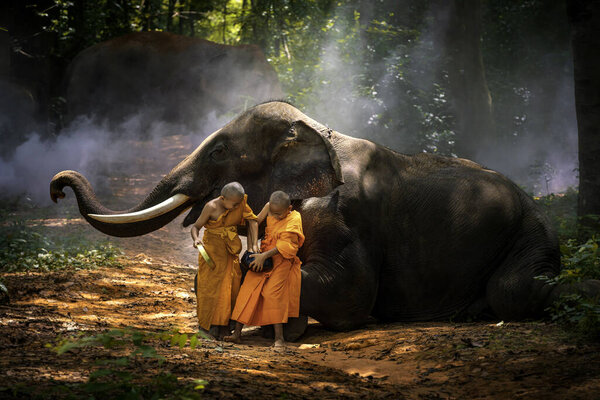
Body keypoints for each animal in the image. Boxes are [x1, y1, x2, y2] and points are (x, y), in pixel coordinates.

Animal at [50, 100, 600, 338]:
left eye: (222, 150)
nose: (57, 186)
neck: (319, 128)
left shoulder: (346, 215)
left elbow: (351, 291)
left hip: (531, 235)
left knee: (514, 292)